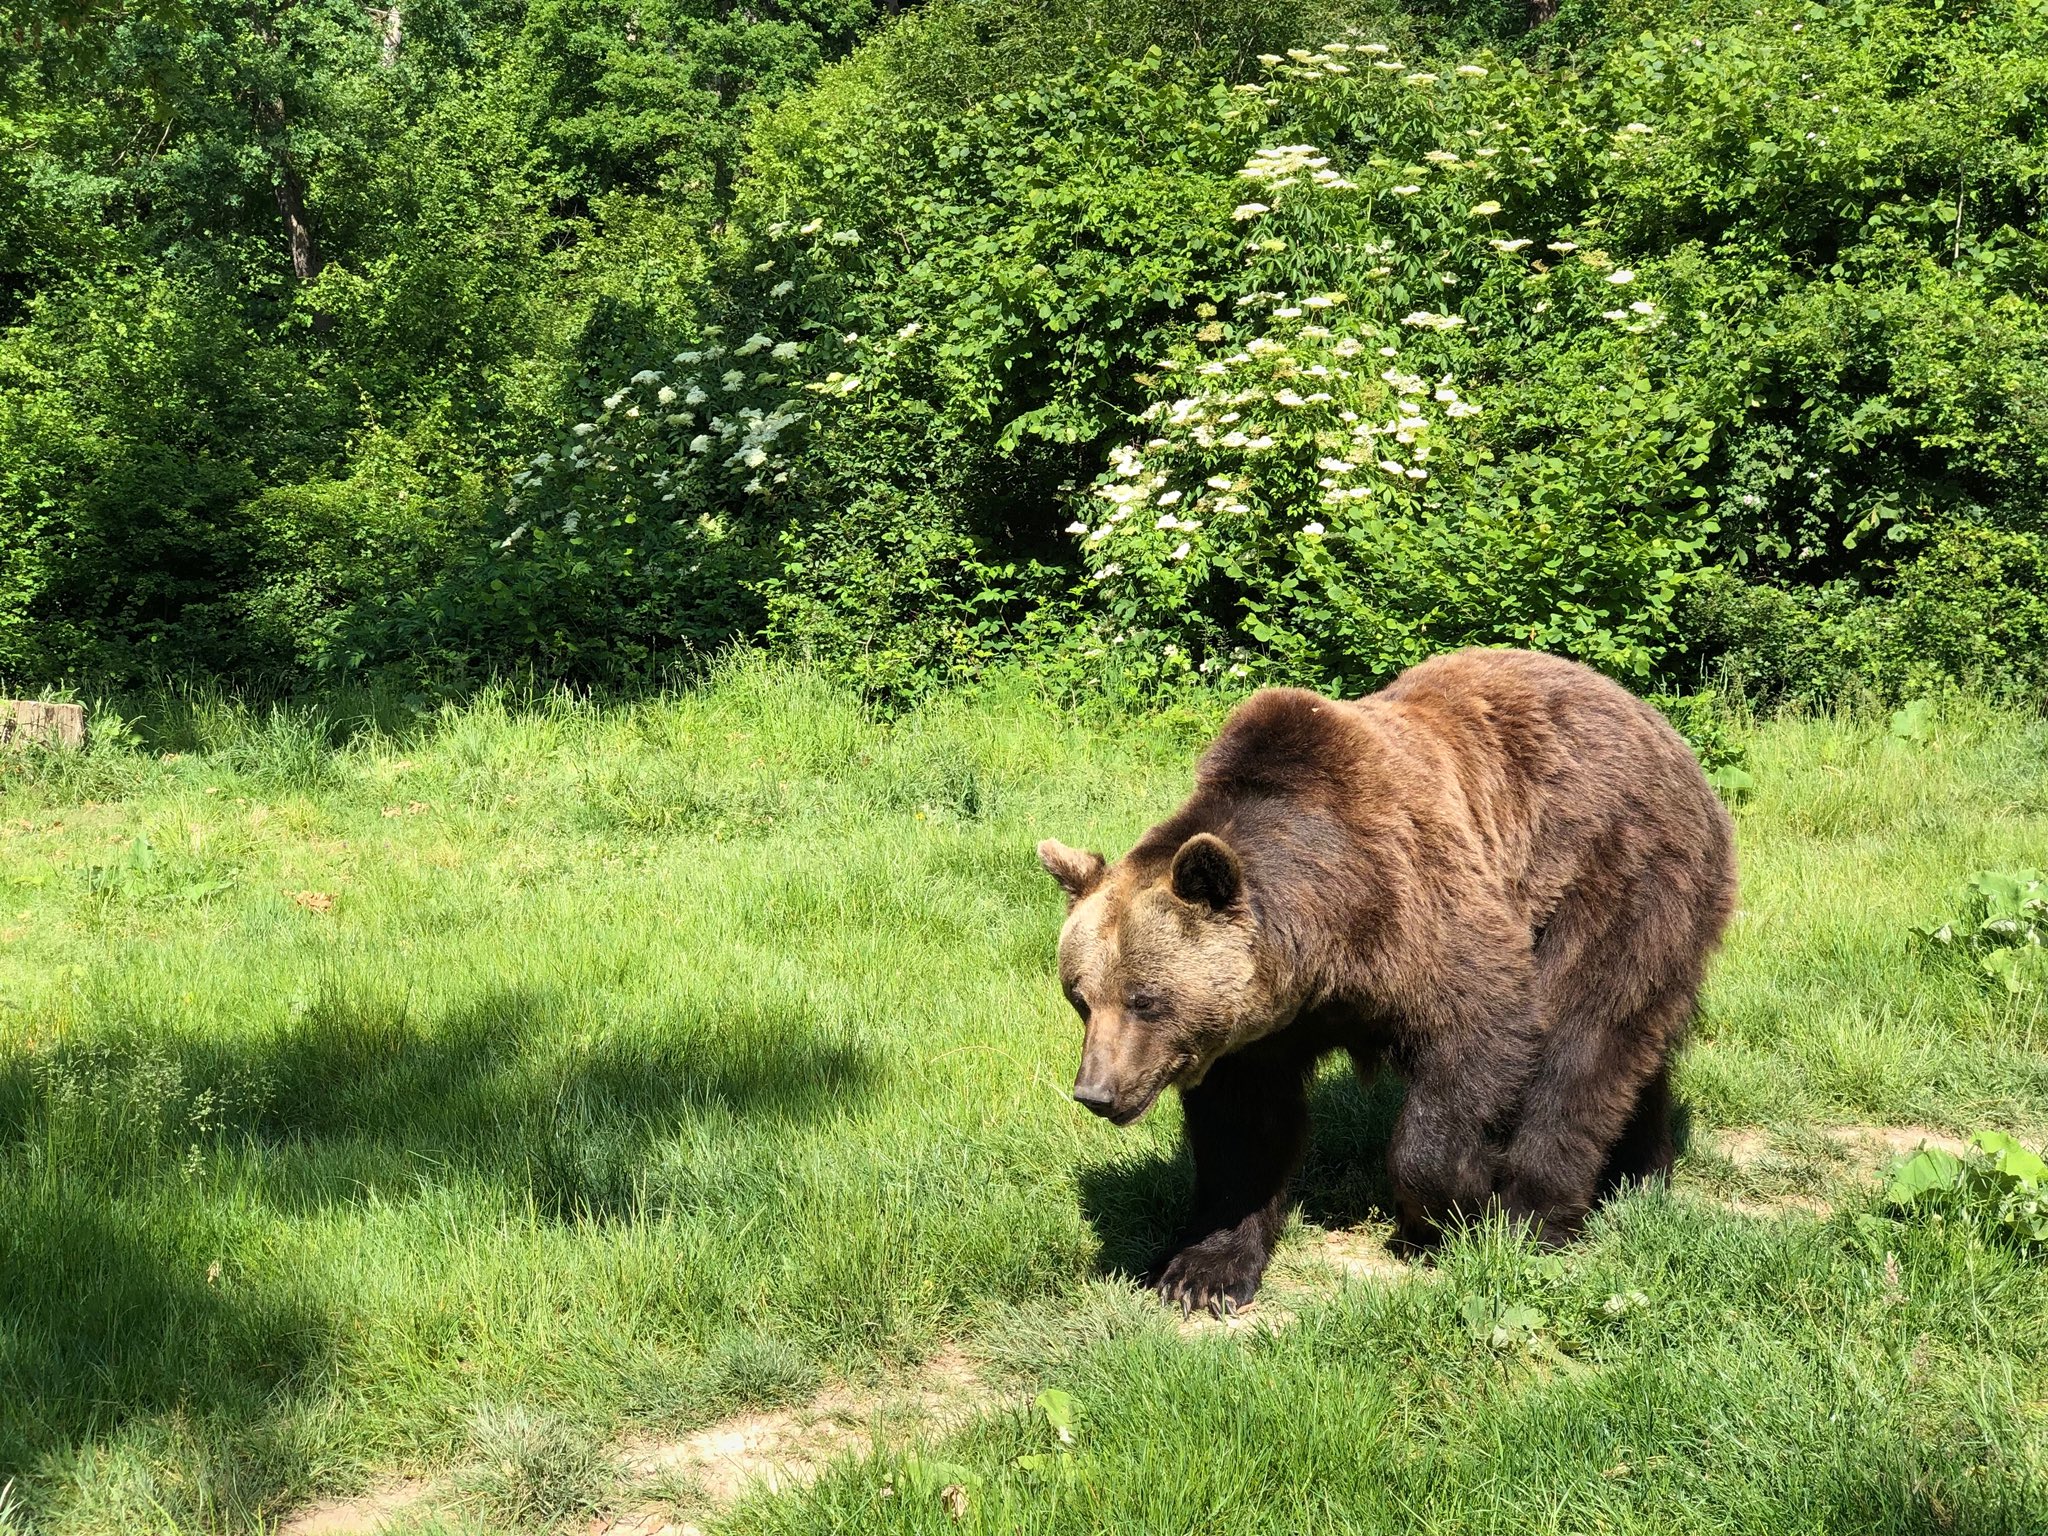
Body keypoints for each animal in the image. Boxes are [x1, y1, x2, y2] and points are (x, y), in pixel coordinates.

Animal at [1048, 647, 1736, 1310]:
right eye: (1080, 999)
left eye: (1145, 1000)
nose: (1096, 1093)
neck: (1325, 933)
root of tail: (1656, 723)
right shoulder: (1258, 1028)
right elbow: (1244, 1130)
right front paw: (1202, 1273)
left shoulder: (1414, 905)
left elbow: (1478, 1031)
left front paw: (1444, 1213)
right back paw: (1639, 1174)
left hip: (1616, 872)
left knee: (1585, 1040)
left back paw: (1535, 1216)